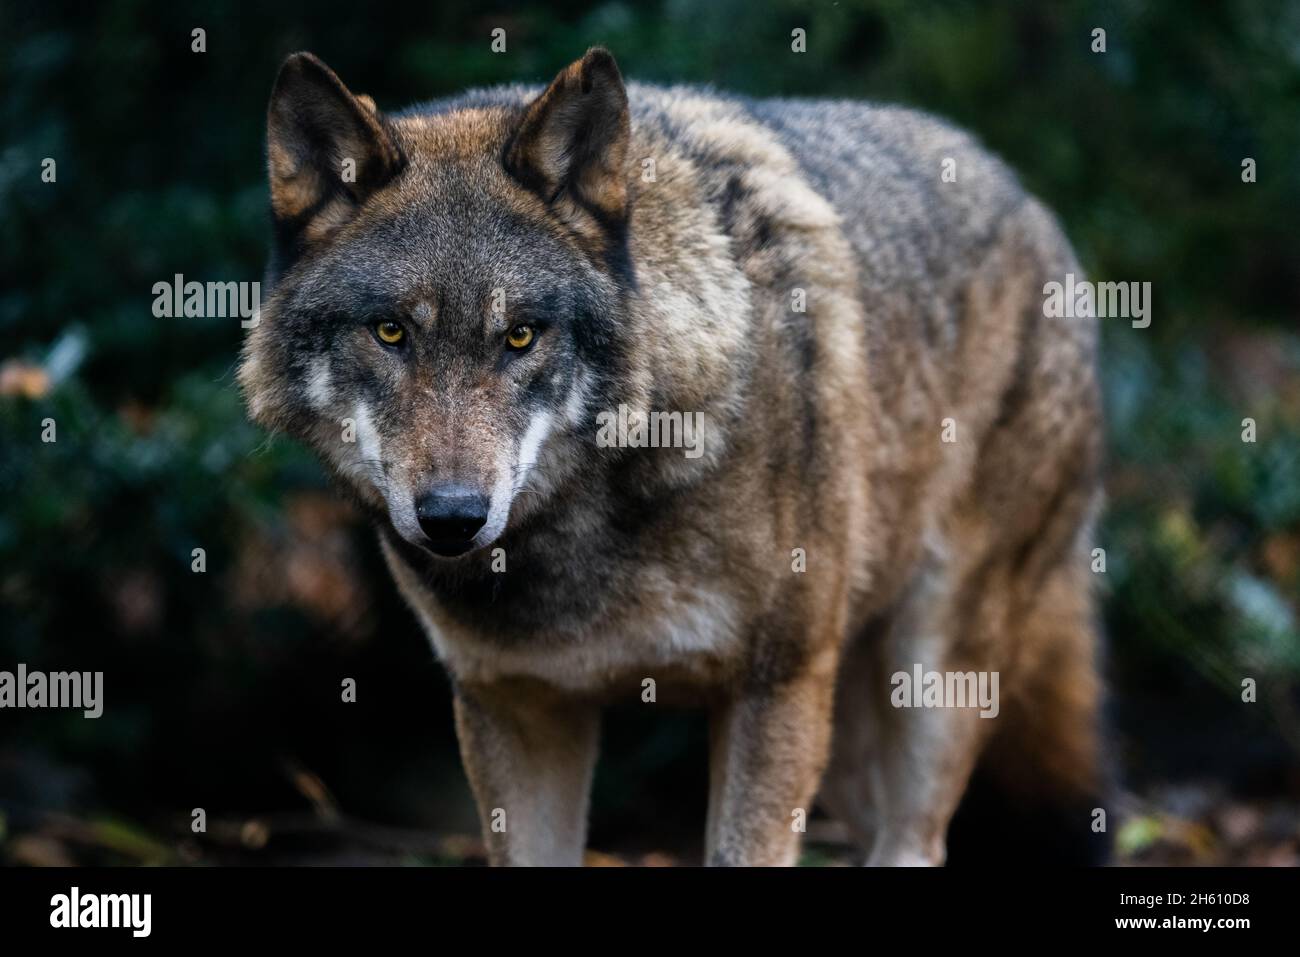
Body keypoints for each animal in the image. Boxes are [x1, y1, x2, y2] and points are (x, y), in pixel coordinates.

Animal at [239, 47, 1108, 866]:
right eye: (390, 332)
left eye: (520, 336)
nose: (452, 517)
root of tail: (1027, 196)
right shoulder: (517, 704)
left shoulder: (777, 684)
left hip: (927, 679)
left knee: (920, 840)